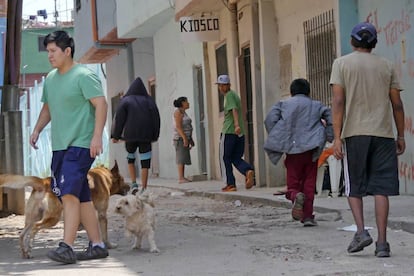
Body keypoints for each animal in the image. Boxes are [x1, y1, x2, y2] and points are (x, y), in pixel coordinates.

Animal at [0, 162, 129, 258]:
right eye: (123, 179)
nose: (130, 186)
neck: (105, 177)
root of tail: (44, 182)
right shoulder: (102, 214)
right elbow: (104, 234)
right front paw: (109, 245)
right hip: (53, 218)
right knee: (35, 228)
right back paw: (30, 247)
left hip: (32, 217)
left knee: (22, 234)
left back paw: (24, 252)